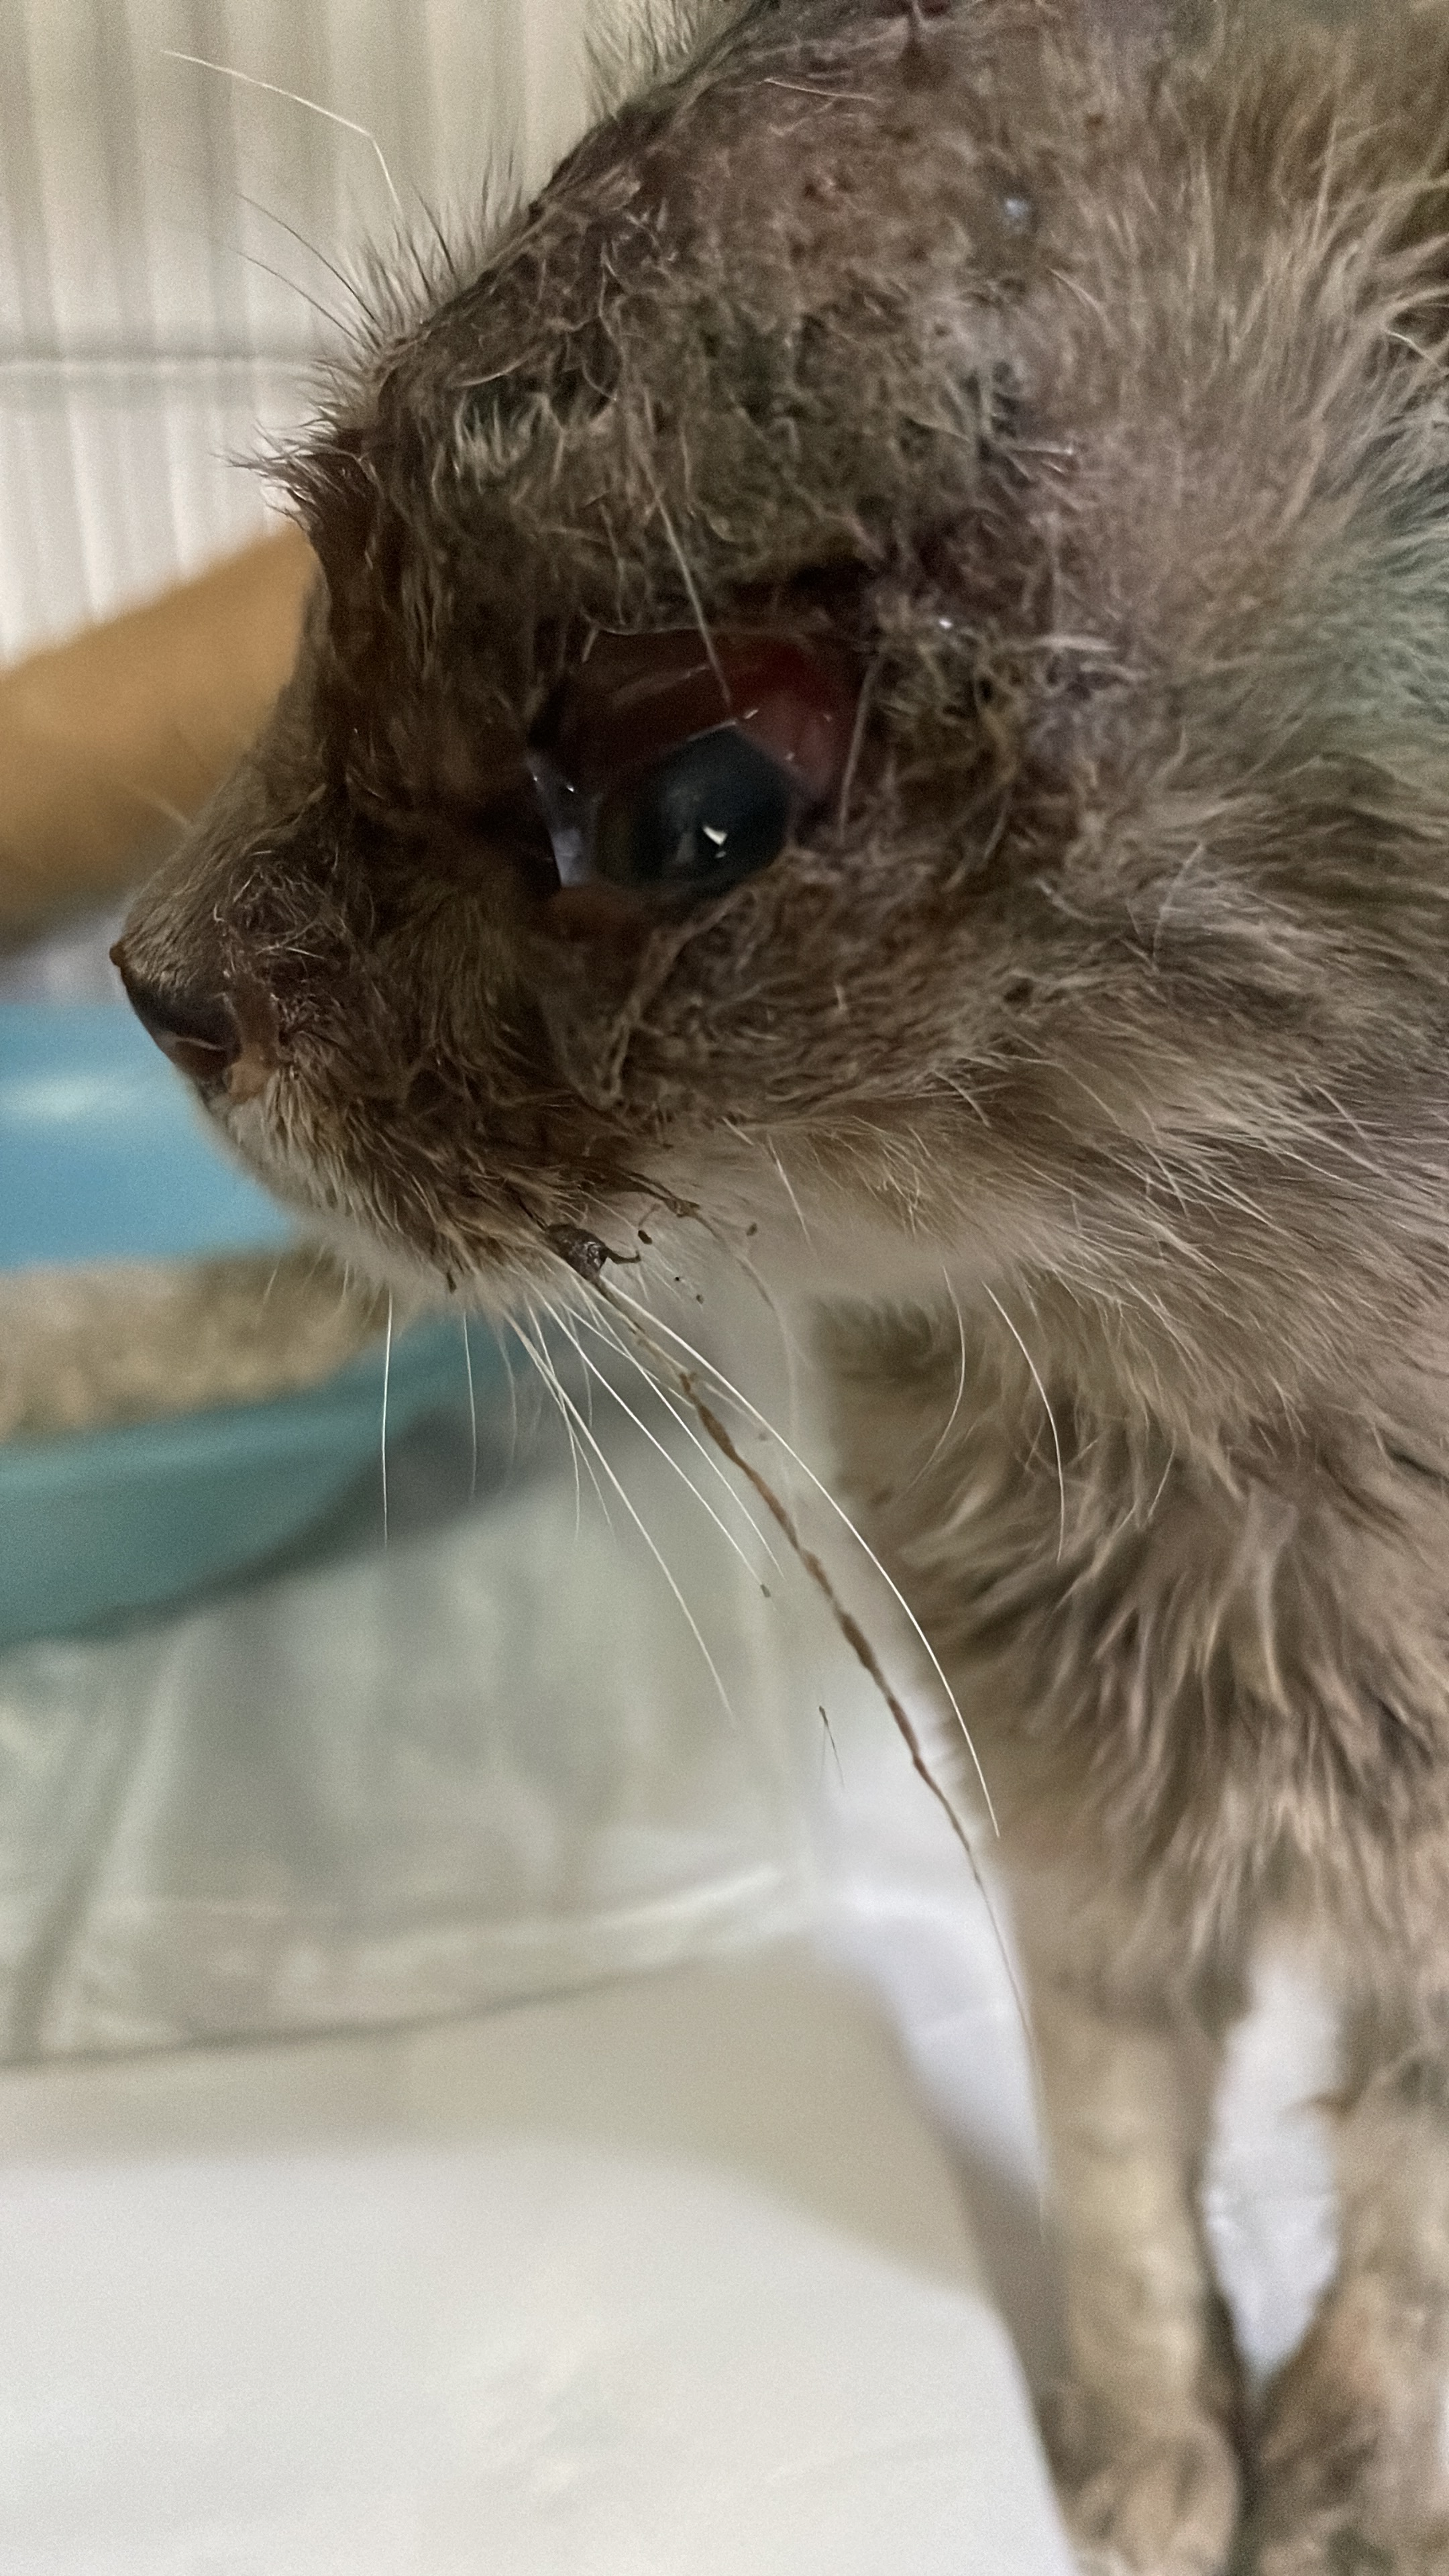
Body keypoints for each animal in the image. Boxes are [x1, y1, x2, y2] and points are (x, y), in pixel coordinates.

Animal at [112, 2, 1449, 2565]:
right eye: (320, 583)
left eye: (696, 794)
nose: (151, 974)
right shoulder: (1067, 1847)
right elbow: (1126, 2200)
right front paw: (1142, 2473)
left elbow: (1407, 2244)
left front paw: (1344, 2488)